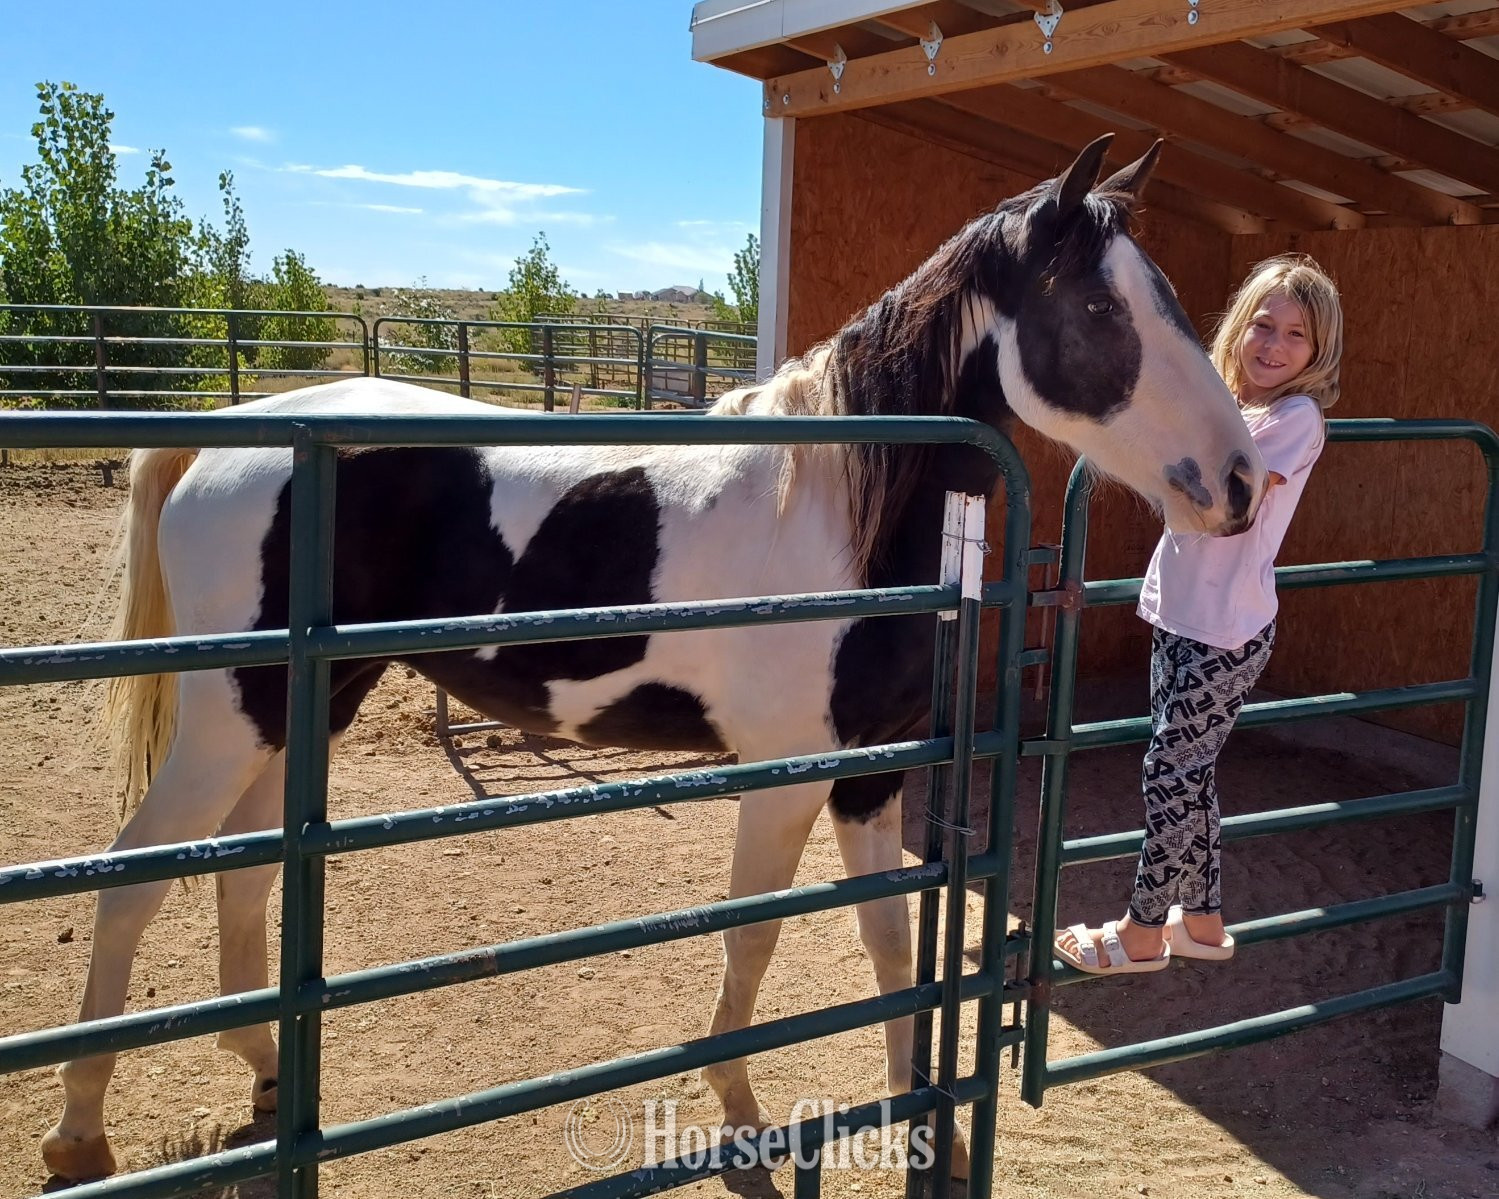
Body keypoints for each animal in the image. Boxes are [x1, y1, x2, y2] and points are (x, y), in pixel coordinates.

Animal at [39, 135, 1265, 1183]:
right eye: (1099, 305)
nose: (1241, 481)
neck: (836, 507)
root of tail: (236, 434)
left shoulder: (870, 774)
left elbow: (884, 939)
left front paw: (935, 1128)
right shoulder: (788, 774)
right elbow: (755, 932)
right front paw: (735, 1106)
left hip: (300, 703)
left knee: (243, 868)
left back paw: (262, 1072)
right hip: (231, 713)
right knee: (134, 874)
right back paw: (79, 1129)